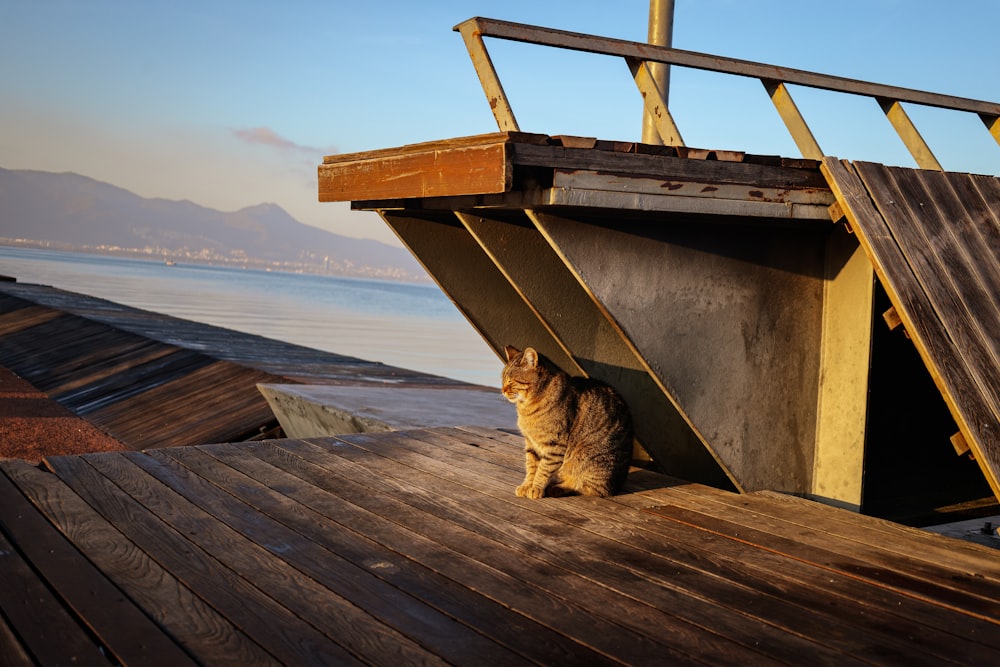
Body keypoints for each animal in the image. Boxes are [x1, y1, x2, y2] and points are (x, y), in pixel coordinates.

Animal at [500, 348, 632, 498]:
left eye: (511, 382)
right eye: (503, 380)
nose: (502, 391)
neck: (527, 407)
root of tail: (618, 483)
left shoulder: (555, 445)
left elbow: (543, 469)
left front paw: (535, 488)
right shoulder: (530, 443)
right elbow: (531, 466)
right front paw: (527, 485)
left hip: (592, 460)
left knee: (589, 488)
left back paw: (557, 488)